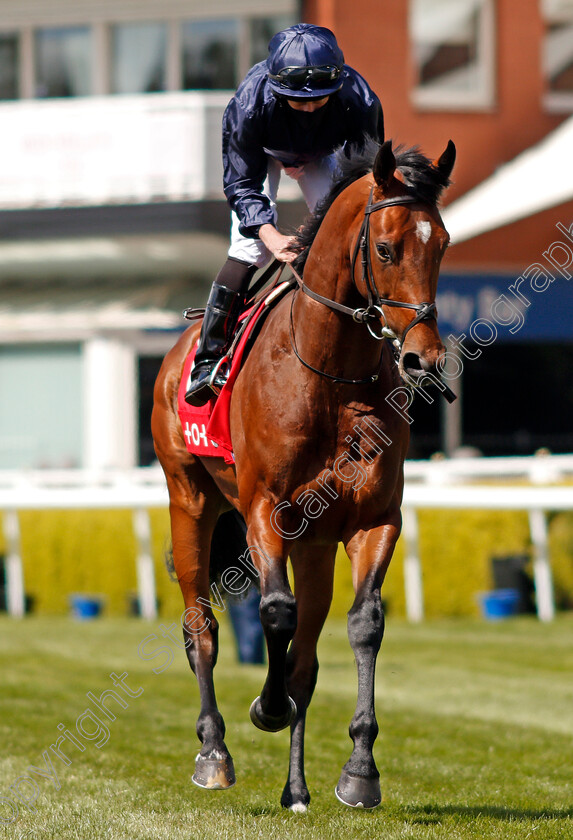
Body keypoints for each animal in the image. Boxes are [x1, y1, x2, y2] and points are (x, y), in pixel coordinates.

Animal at [152, 139, 456, 812]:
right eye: (386, 248)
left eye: (443, 243)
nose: (423, 357)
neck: (328, 372)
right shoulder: (265, 508)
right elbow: (275, 612)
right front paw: (266, 707)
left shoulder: (374, 519)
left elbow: (362, 626)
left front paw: (360, 771)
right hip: (191, 501)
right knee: (200, 627)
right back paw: (213, 751)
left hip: (314, 544)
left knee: (307, 660)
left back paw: (295, 788)